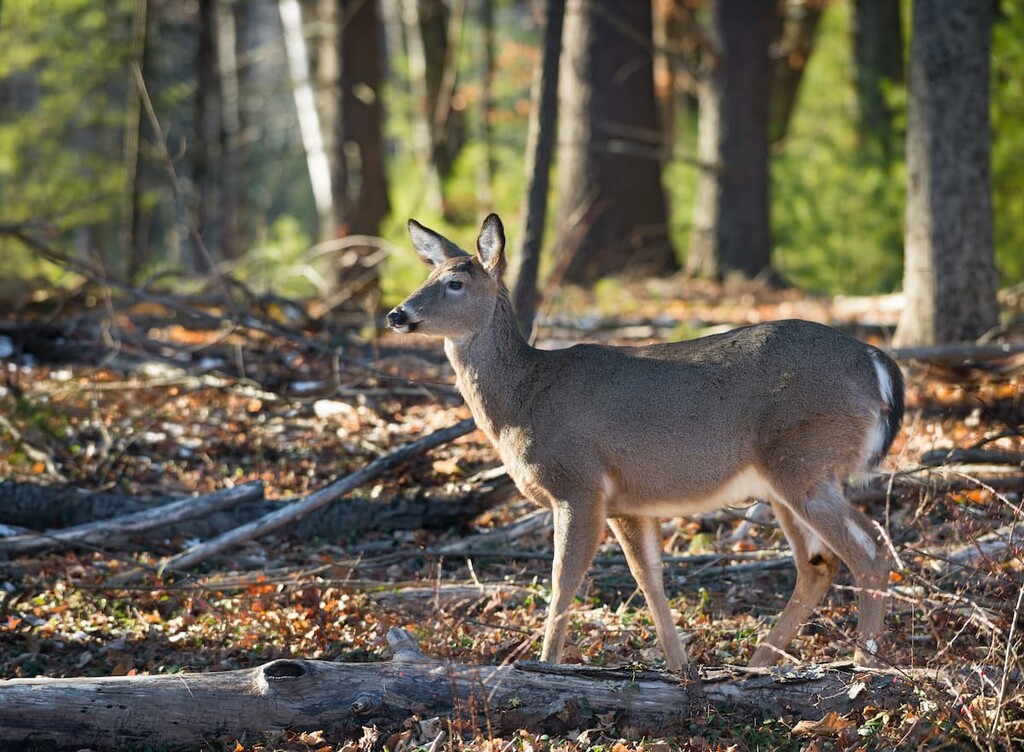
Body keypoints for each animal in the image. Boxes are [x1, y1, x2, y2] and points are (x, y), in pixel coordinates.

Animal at [387, 214, 905, 670]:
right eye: (428, 274)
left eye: (456, 282)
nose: (397, 313)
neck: (524, 398)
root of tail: (877, 363)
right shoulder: (628, 503)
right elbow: (649, 580)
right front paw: (681, 668)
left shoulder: (577, 483)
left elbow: (563, 581)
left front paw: (546, 665)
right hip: (788, 479)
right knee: (819, 563)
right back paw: (759, 666)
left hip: (804, 462)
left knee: (872, 550)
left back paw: (866, 664)